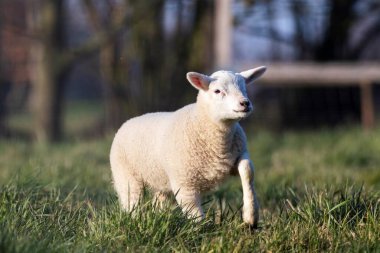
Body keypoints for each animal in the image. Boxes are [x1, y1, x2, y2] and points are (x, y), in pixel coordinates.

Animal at [108, 65, 266, 227]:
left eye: (244, 88)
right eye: (217, 91)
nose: (245, 103)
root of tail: (128, 122)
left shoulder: (238, 154)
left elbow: (247, 170)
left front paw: (251, 217)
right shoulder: (184, 181)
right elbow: (194, 212)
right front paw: (202, 230)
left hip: (160, 179)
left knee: (159, 201)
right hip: (126, 176)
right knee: (131, 202)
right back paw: (135, 222)